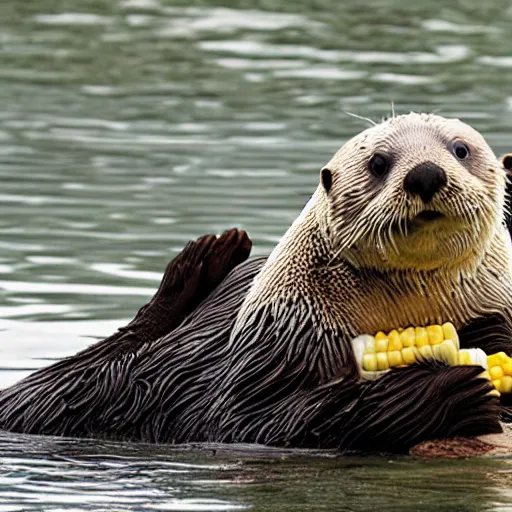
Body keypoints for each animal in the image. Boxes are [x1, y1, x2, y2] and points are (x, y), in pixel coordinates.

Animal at [1, 113, 512, 452]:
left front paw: (485, 339)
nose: (426, 173)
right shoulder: (278, 341)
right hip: (72, 397)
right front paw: (452, 387)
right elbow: (251, 420)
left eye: (460, 149)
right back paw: (209, 255)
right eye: (379, 163)